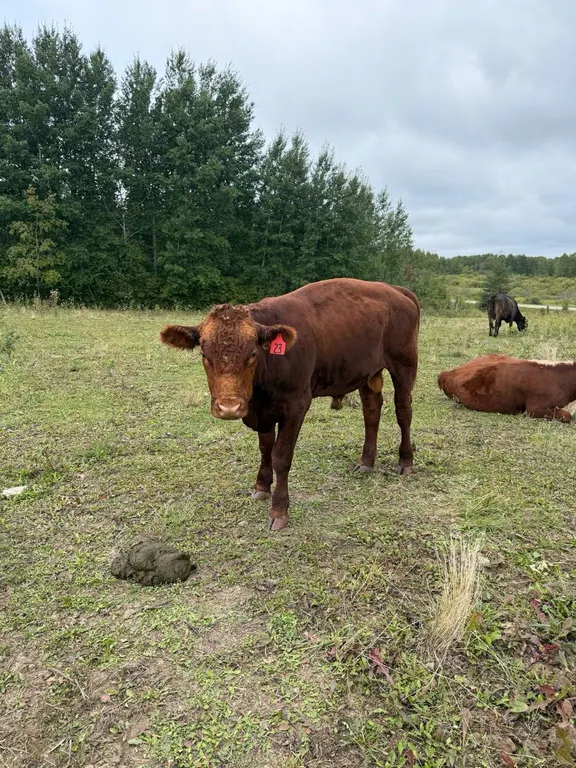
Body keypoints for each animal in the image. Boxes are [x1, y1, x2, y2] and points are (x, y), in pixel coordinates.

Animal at [160, 278, 420, 531]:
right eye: (205, 354)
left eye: (252, 354)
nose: (229, 407)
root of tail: (395, 289)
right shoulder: (262, 411)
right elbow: (265, 448)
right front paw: (261, 487)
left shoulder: (296, 406)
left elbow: (281, 456)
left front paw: (279, 510)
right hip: (367, 371)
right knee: (371, 410)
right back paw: (366, 462)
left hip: (404, 364)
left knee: (403, 411)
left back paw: (405, 461)